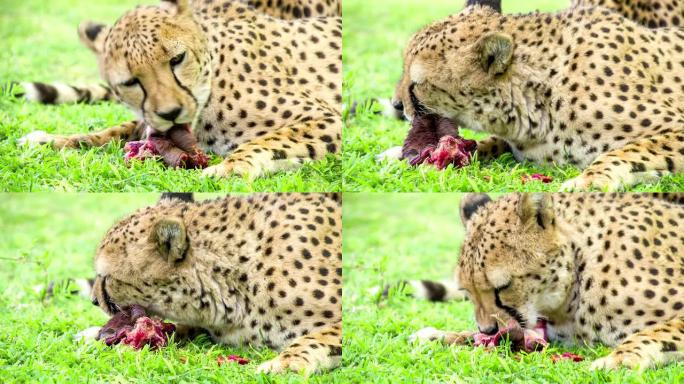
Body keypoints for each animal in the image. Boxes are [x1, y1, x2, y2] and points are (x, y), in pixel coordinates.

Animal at [19, 0, 342, 179]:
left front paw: (229, 168)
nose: (171, 113)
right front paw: (51, 140)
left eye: (177, 59)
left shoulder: (327, 119)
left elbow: (268, 141)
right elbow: (111, 132)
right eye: (130, 82)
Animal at [408, 194, 680, 370]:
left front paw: (619, 359)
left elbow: (658, 331)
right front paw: (440, 335)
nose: (488, 330)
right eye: (468, 292)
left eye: (503, 287)